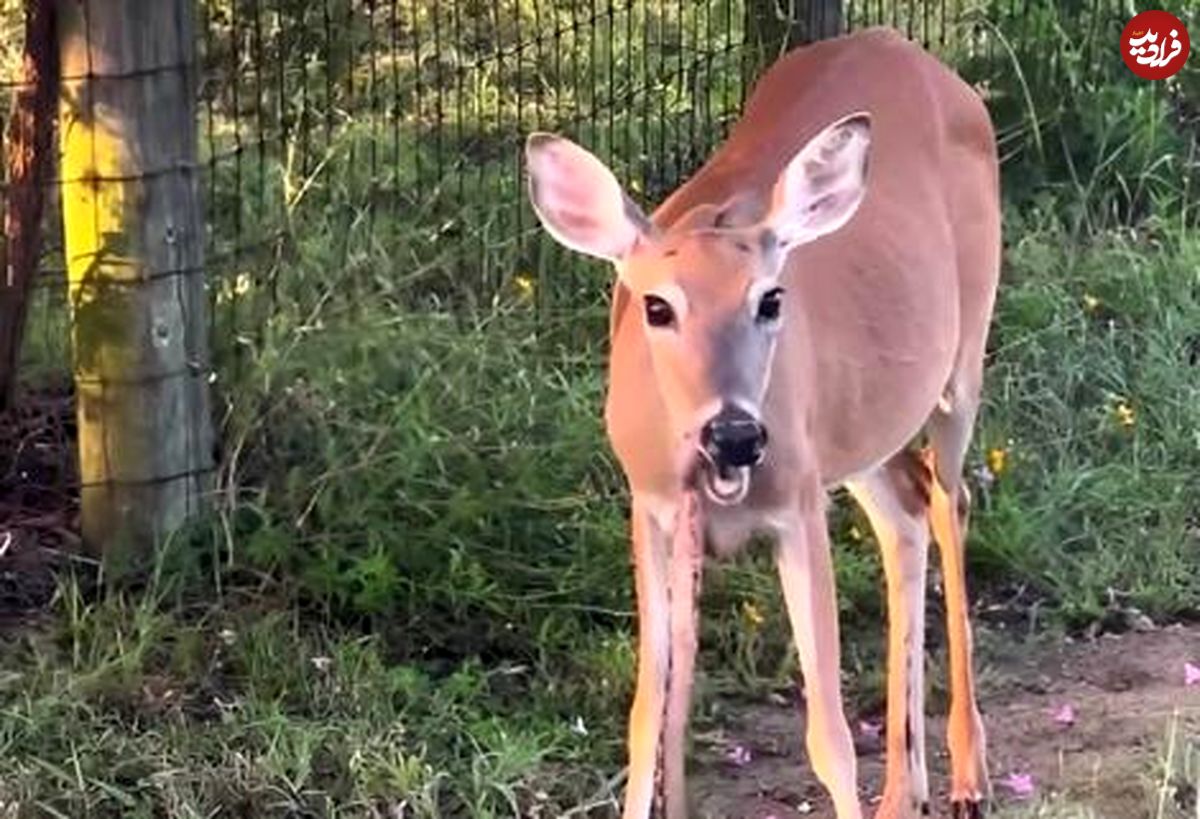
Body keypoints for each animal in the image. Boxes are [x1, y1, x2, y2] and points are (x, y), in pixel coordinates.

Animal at [525, 25, 1003, 816]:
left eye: (770, 299)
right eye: (657, 305)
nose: (736, 434)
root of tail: (909, 47)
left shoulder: (797, 504)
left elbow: (829, 733)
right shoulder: (652, 507)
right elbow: (646, 717)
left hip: (961, 359)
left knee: (949, 499)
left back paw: (969, 775)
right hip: (861, 428)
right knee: (904, 515)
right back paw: (905, 791)